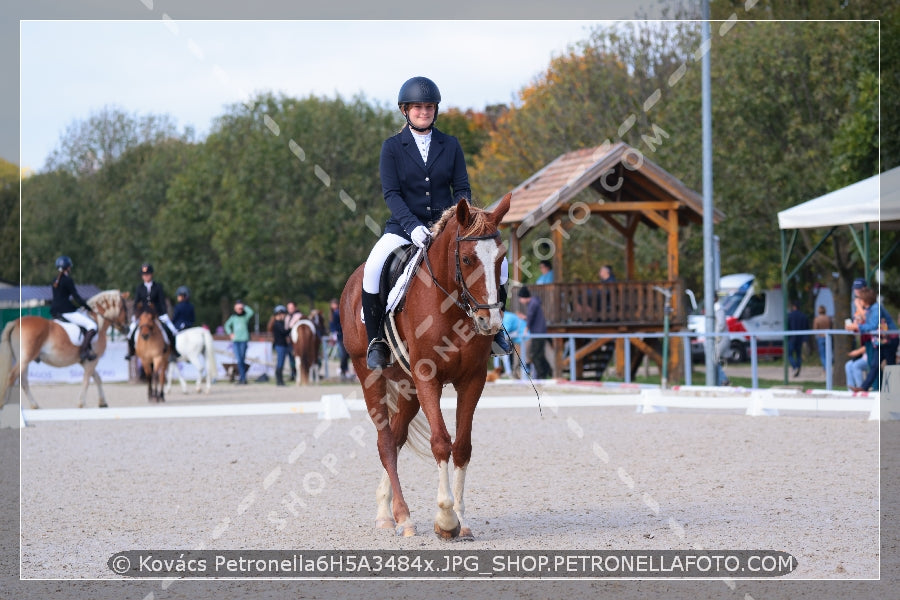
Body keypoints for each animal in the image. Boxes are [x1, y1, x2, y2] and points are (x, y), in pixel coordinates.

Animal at [0, 290, 130, 410]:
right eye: (125, 308)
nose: (127, 329)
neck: (98, 320)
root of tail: (15, 322)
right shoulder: (93, 360)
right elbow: (87, 380)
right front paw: (81, 403)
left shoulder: (85, 361)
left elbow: (97, 378)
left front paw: (103, 403)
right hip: (25, 358)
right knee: (12, 377)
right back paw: (5, 404)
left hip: (22, 359)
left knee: (23, 381)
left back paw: (34, 405)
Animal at [340, 192, 510, 540]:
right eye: (467, 259)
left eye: (500, 259)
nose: (489, 321)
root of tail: (351, 282)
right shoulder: (427, 376)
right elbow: (441, 442)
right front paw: (445, 519)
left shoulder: (472, 379)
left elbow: (462, 446)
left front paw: (462, 519)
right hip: (369, 375)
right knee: (385, 443)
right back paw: (402, 517)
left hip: (408, 389)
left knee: (396, 437)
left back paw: (387, 511)